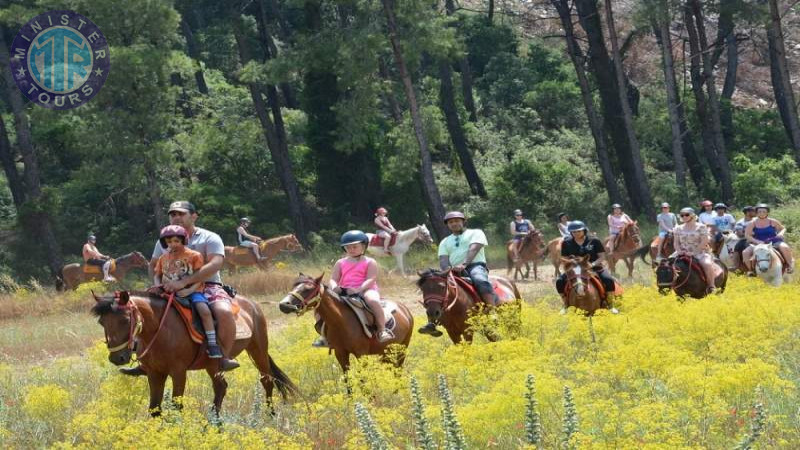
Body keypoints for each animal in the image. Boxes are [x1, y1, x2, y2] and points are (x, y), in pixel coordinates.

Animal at [92, 290, 296, 416]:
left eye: (126, 320)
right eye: (102, 322)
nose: (117, 358)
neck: (161, 330)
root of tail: (252, 304)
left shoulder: (178, 372)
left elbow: (176, 405)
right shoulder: (154, 373)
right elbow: (154, 408)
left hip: (257, 349)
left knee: (267, 381)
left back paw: (270, 415)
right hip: (213, 365)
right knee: (221, 388)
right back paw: (215, 423)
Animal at [280, 274, 416, 372]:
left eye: (308, 289)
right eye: (293, 287)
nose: (284, 305)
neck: (340, 322)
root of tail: (404, 309)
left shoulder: (361, 354)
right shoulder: (340, 353)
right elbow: (348, 380)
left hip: (402, 349)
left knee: (398, 370)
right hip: (386, 351)